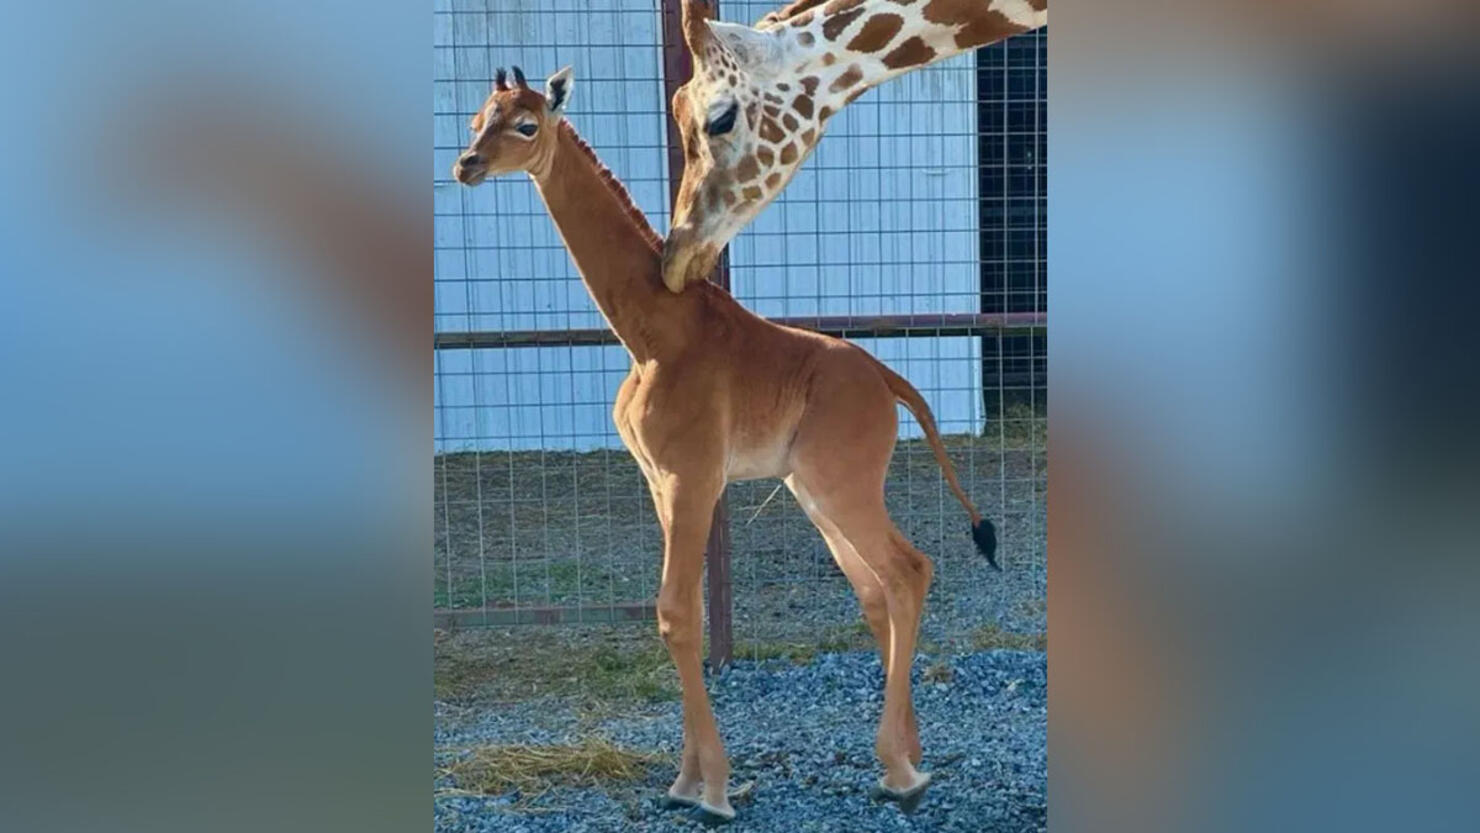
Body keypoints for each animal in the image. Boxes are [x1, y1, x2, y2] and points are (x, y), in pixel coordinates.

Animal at [449, 63, 1000, 822]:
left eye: (526, 124)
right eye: (477, 118)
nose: (465, 165)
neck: (651, 332)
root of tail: (889, 380)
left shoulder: (692, 476)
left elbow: (676, 612)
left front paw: (709, 788)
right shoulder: (660, 481)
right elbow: (685, 613)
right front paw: (686, 781)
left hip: (842, 483)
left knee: (908, 569)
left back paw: (899, 771)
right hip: (813, 491)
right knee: (876, 587)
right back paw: (909, 755)